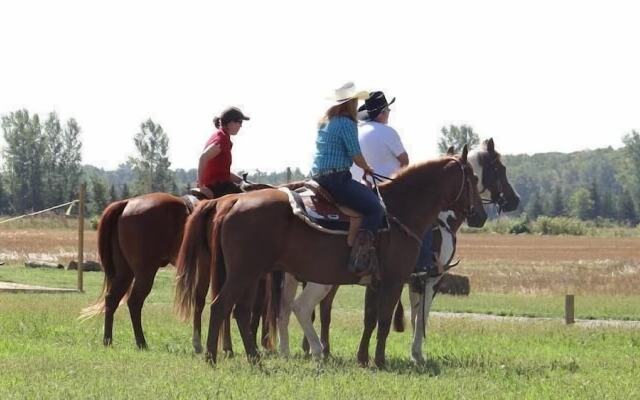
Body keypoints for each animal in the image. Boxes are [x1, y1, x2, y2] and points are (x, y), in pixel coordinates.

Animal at [174, 147, 484, 366]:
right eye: (474, 178)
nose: (480, 215)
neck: (400, 210)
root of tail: (231, 201)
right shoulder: (395, 280)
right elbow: (385, 320)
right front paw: (381, 361)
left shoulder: (377, 282)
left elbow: (371, 318)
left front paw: (365, 359)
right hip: (245, 273)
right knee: (222, 306)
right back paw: (213, 357)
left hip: (251, 275)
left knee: (241, 311)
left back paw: (254, 357)